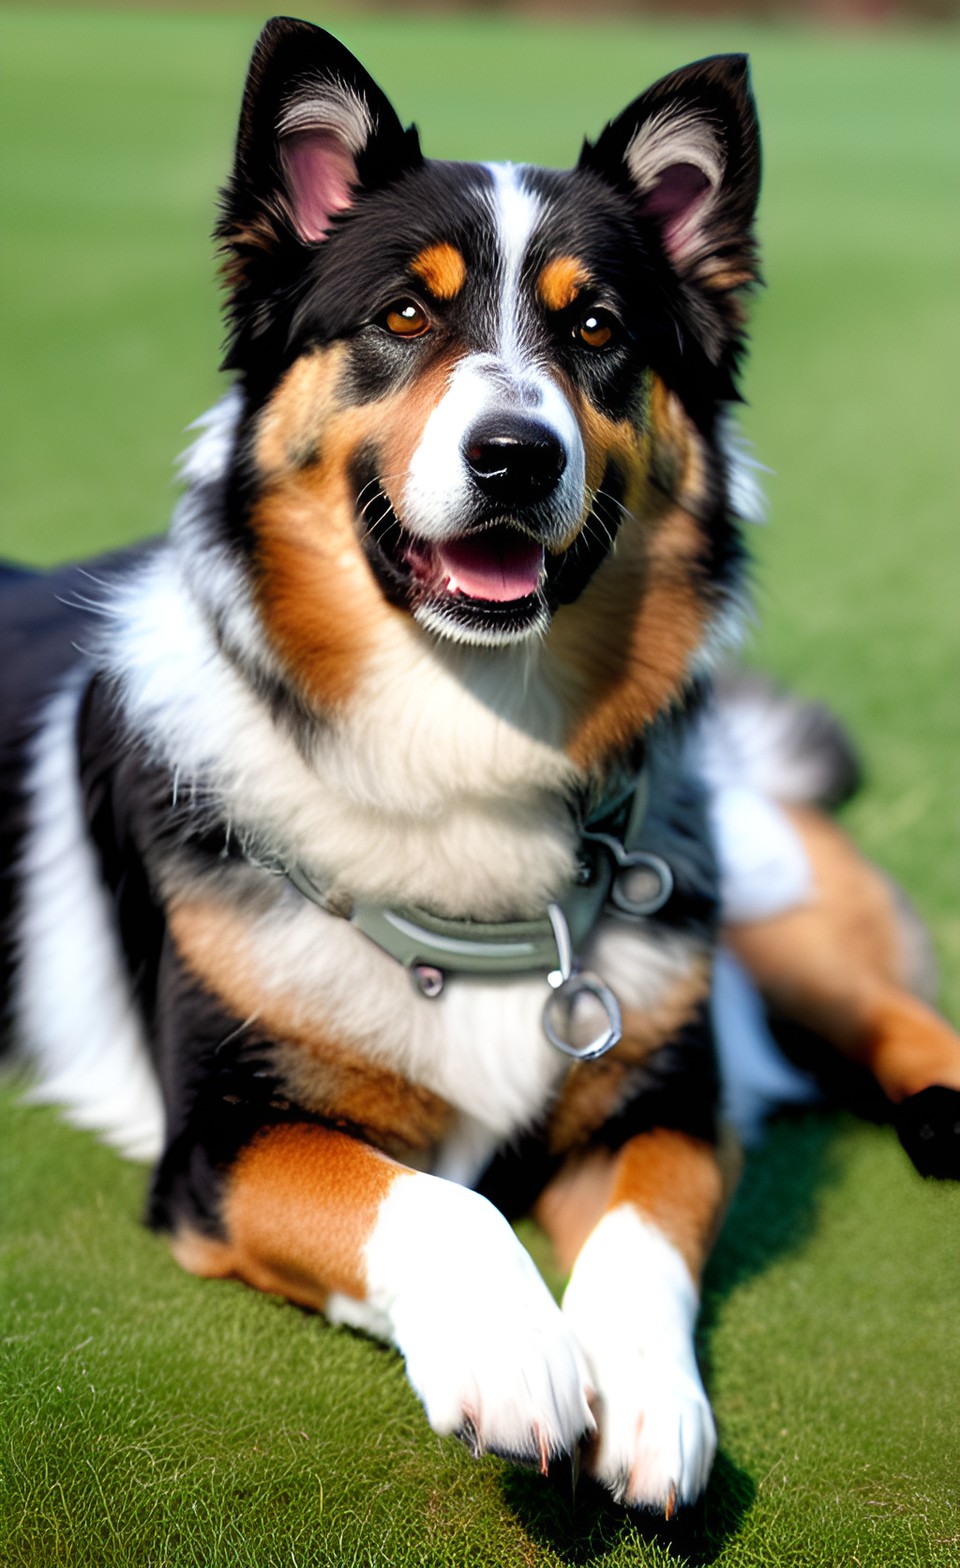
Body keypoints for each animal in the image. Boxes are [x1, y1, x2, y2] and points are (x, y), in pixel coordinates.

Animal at [1, 15, 960, 1517]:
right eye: (404, 315)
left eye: (597, 330)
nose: (516, 456)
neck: (460, 741)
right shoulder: (220, 1144)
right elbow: (428, 1195)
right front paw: (516, 1353)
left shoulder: (669, 1112)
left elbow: (639, 1239)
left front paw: (645, 1397)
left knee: (889, 1010)